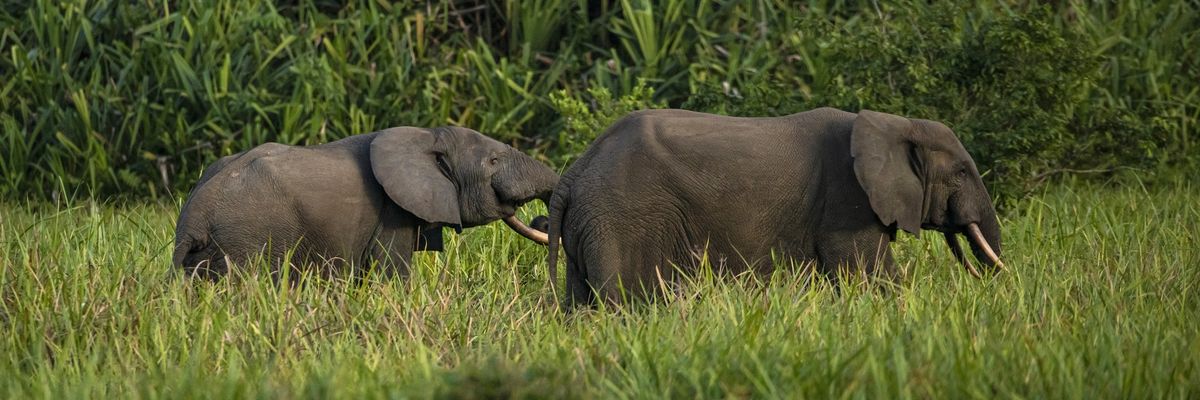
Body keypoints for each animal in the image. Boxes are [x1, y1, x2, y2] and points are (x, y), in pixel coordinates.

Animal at [173, 126, 557, 280]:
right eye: (493, 161)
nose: (540, 220)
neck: (427, 135)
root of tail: (193, 220)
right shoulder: (391, 212)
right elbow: (392, 274)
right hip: (246, 242)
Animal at [547, 108, 1004, 307]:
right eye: (962, 172)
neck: (895, 123)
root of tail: (573, 175)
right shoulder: (847, 201)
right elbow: (870, 275)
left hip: (591, 224)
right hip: (620, 220)